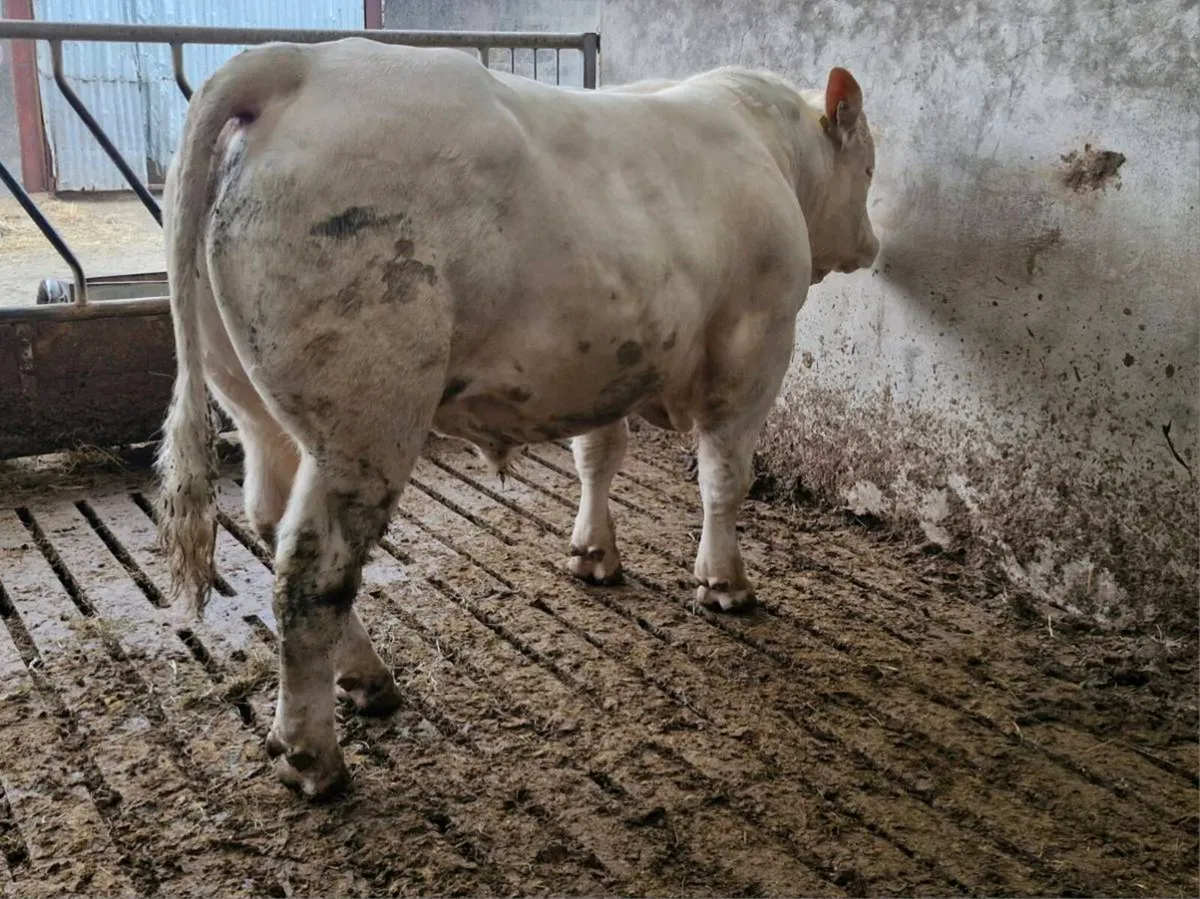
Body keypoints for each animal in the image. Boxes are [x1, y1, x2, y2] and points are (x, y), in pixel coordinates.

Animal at [157, 37, 879, 799]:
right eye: (868, 165)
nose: (872, 244)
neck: (770, 145)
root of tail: (298, 61)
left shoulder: (605, 359)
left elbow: (598, 455)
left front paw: (593, 552)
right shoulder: (755, 347)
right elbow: (723, 476)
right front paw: (724, 581)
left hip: (252, 402)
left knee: (272, 518)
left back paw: (367, 678)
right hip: (366, 419)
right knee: (311, 568)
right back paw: (312, 751)